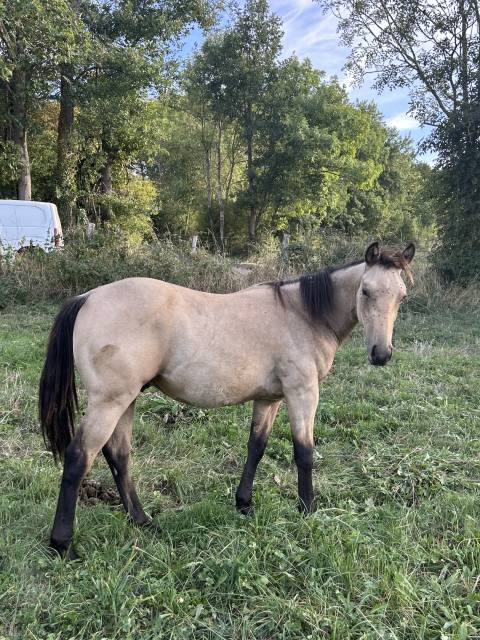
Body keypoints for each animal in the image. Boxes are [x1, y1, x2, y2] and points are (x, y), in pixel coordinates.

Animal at [39, 241, 415, 559]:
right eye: (365, 291)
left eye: (402, 296)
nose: (381, 354)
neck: (302, 315)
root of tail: (88, 296)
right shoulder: (302, 392)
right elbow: (304, 452)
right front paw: (307, 508)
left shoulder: (270, 399)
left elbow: (256, 446)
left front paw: (244, 503)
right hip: (110, 401)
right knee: (79, 458)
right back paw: (62, 544)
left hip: (126, 401)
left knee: (119, 455)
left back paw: (142, 520)